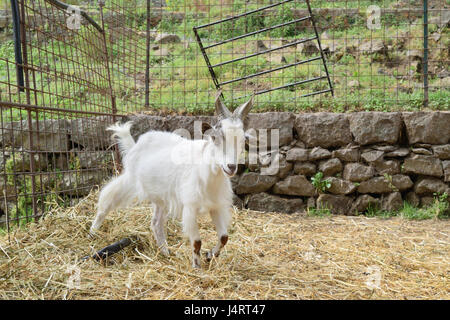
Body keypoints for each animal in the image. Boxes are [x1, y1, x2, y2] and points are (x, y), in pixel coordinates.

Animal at [90, 91, 253, 268]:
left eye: (243, 140)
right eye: (215, 138)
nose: (231, 167)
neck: (208, 176)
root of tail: (135, 144)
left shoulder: (215, 206)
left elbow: (224, 237)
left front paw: (210, 255)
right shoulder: (190, 206)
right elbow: (197, 242)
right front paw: (197, 265)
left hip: (161, 196)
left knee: (156, 223)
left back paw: (165, 252)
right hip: (131, 179)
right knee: (108, 196)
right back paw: (93, 231)